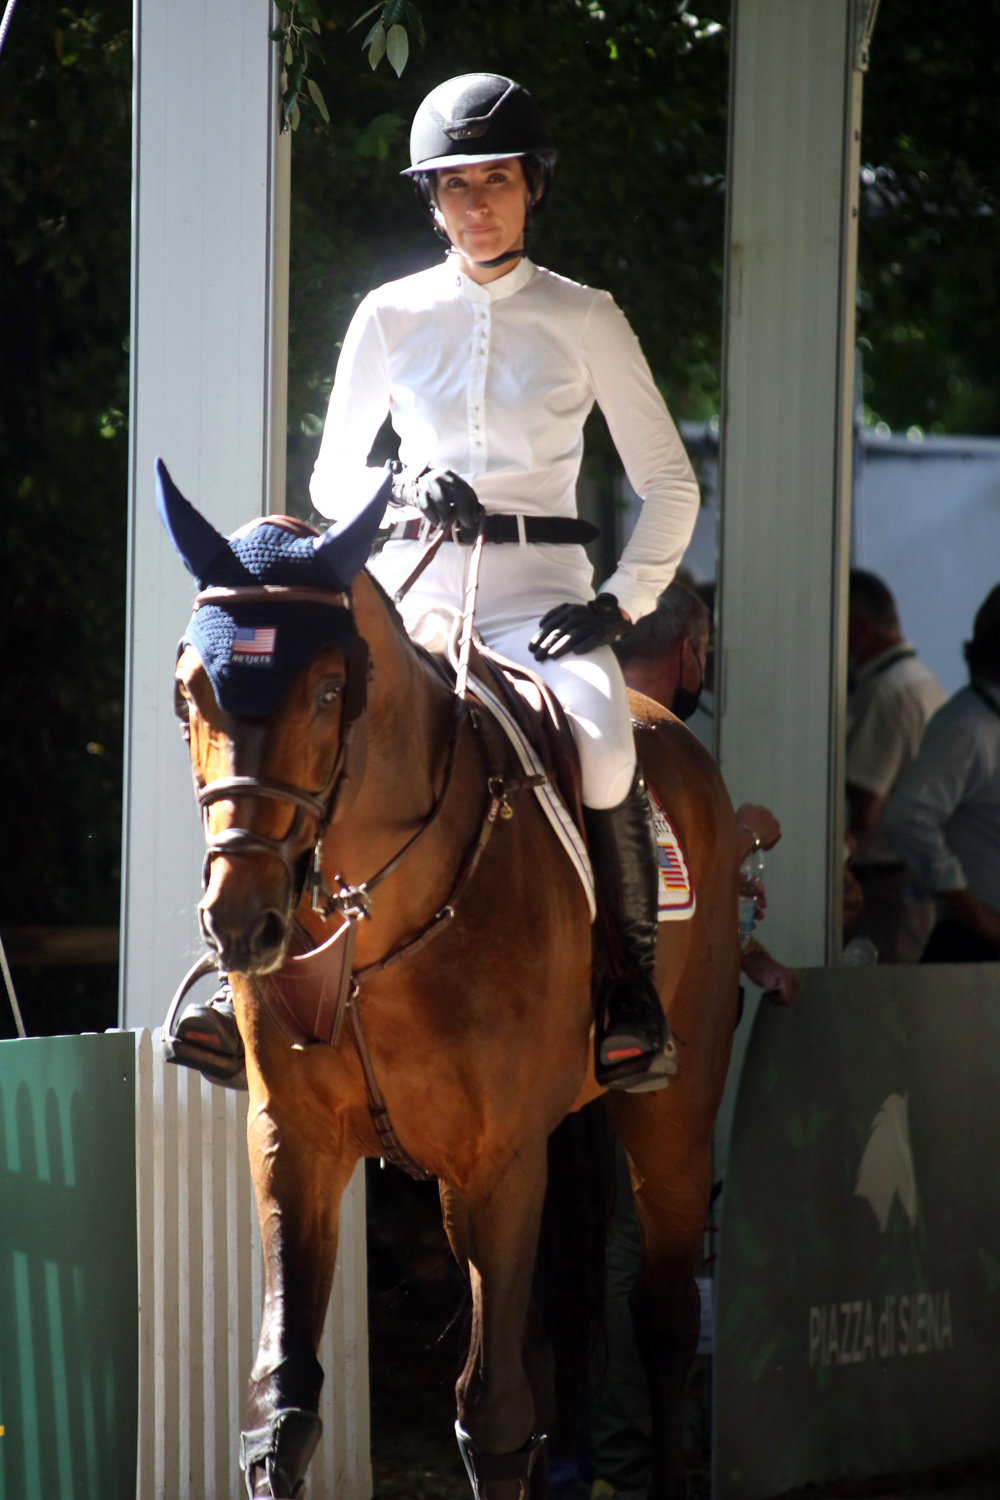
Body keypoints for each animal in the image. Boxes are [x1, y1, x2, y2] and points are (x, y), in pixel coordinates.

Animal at [164, 474, 740, 1500]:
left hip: (670, 1118)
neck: (372, 928)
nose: (241, 921)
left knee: (666, 1316)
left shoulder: (500, 1161)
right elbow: (282, 1406)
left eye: (327, 691)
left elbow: (496, 1413)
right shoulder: (293, 1142)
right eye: (190, 689)